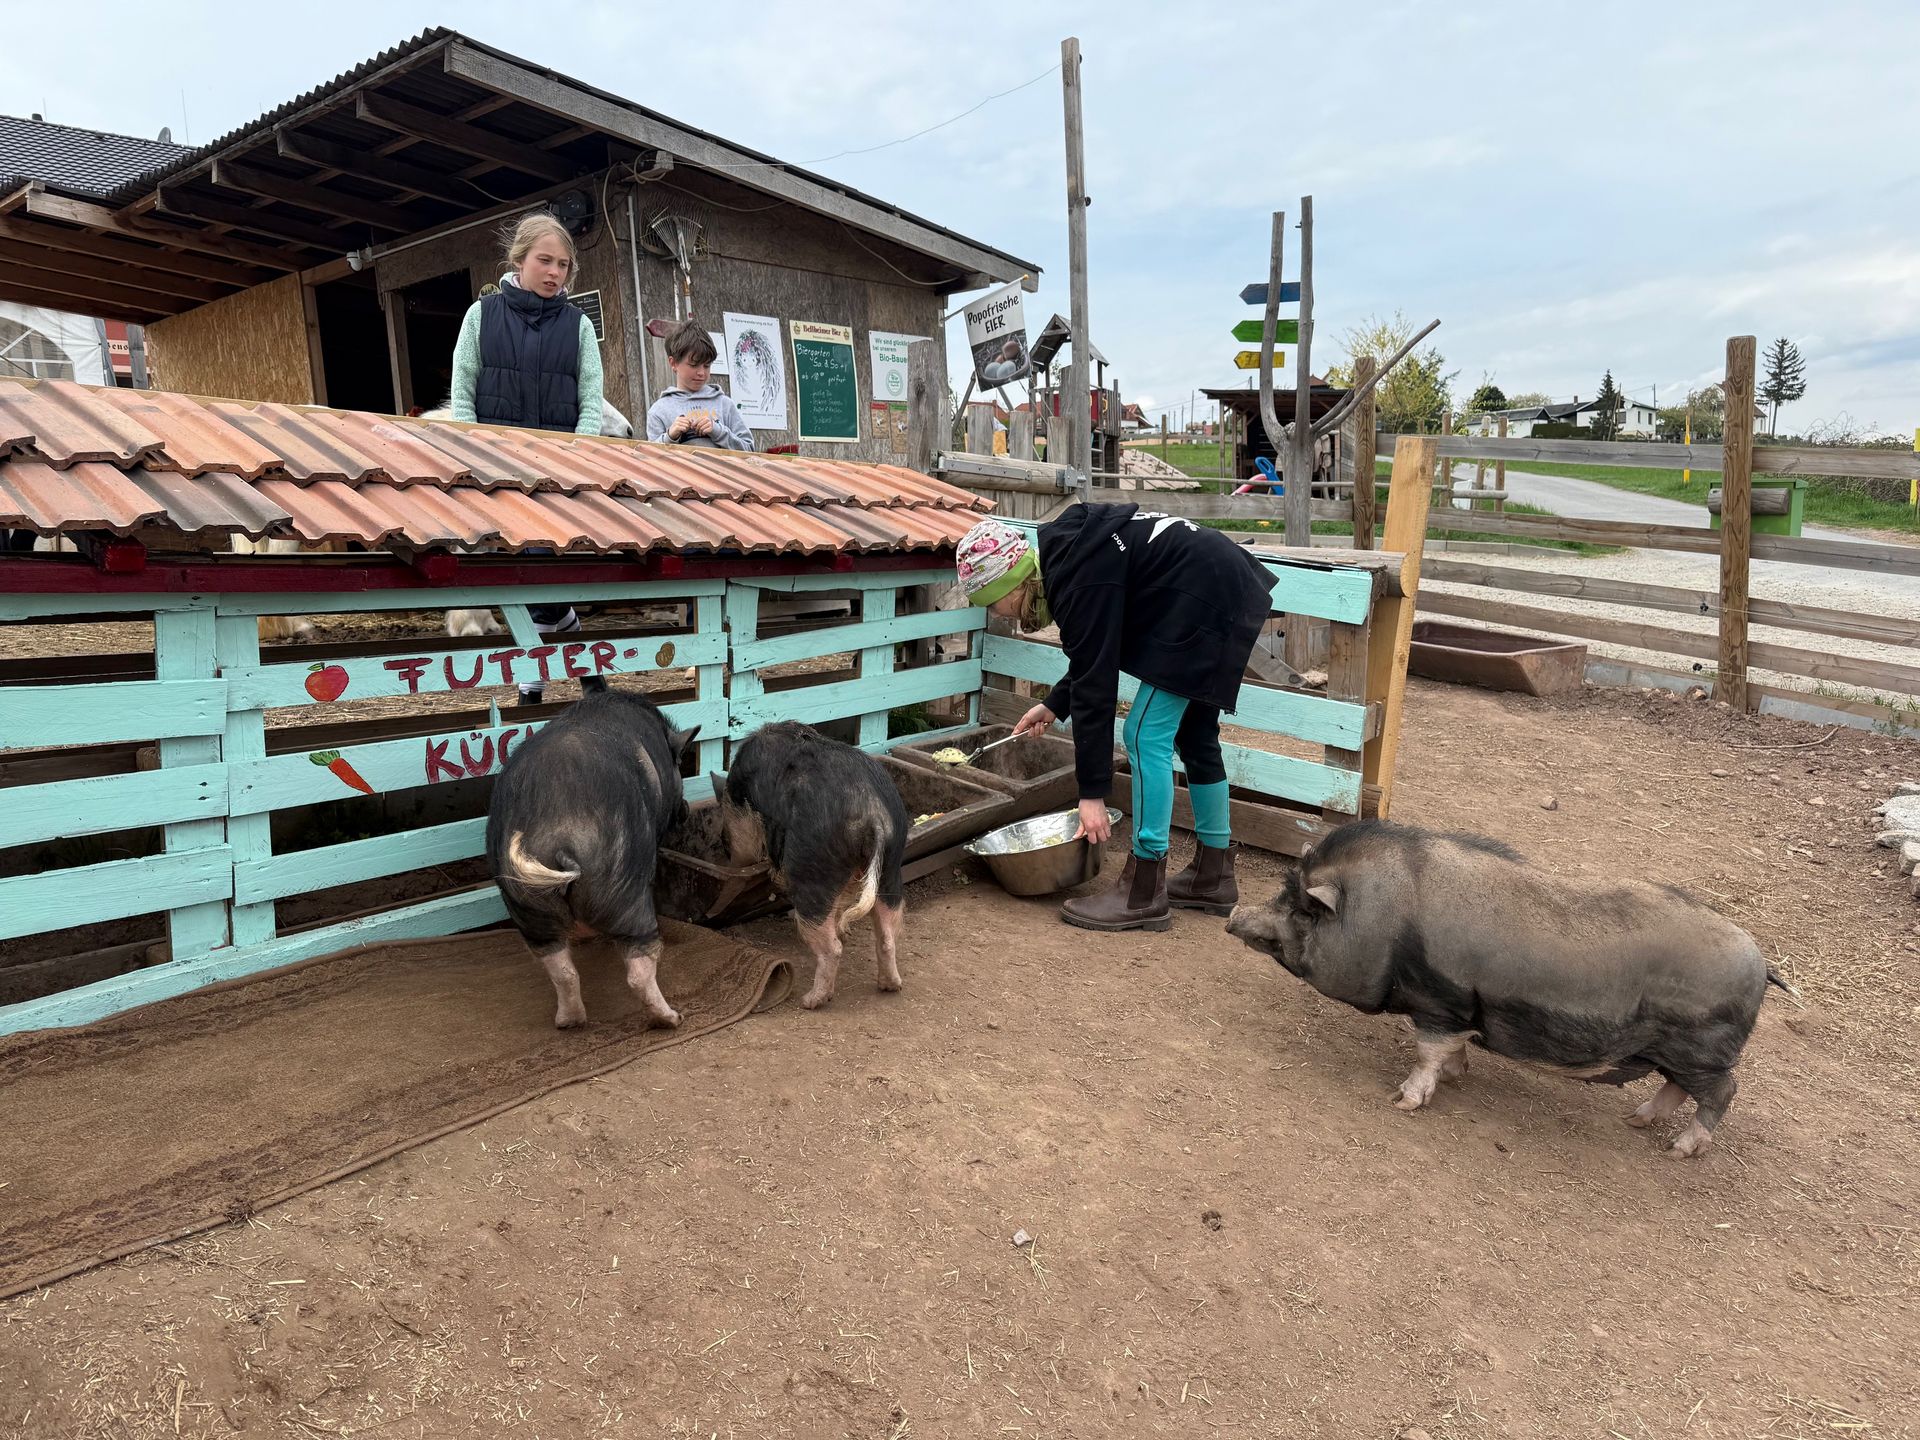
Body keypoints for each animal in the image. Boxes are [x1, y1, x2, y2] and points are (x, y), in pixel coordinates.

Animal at [486, 690, 700, 1029]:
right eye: (679, 763)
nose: (686, 809)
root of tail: (559, 838)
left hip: (528, 905)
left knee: (560, 966)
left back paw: (569, 1022)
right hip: (622, 892)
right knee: (639, 964)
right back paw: (672, 1019)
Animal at [711, 721, 909, 1010]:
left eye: (723, 837)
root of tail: (873, 816)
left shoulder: (744, 823)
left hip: (812, 869)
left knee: (830, 945)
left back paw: (811, 1000)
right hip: (891, 866)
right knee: (887, 932)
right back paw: (890, 985)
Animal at [1225, 819, 1791, 1159]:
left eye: (1305, 911)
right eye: (1283, 892)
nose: (1233, 916)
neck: (1388, 917)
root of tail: (1762, 963)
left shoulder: (1441, 1001)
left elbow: (1428, 1051)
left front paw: (1403, 1102)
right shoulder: (1457, 1011)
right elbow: (1452, 1050)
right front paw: (1457, 1076)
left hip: (1704, 1049)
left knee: (1722, 1091)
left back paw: (1678, 1150)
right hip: (1676, 1052)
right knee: (1677, 1088)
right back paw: (1634, 1121)